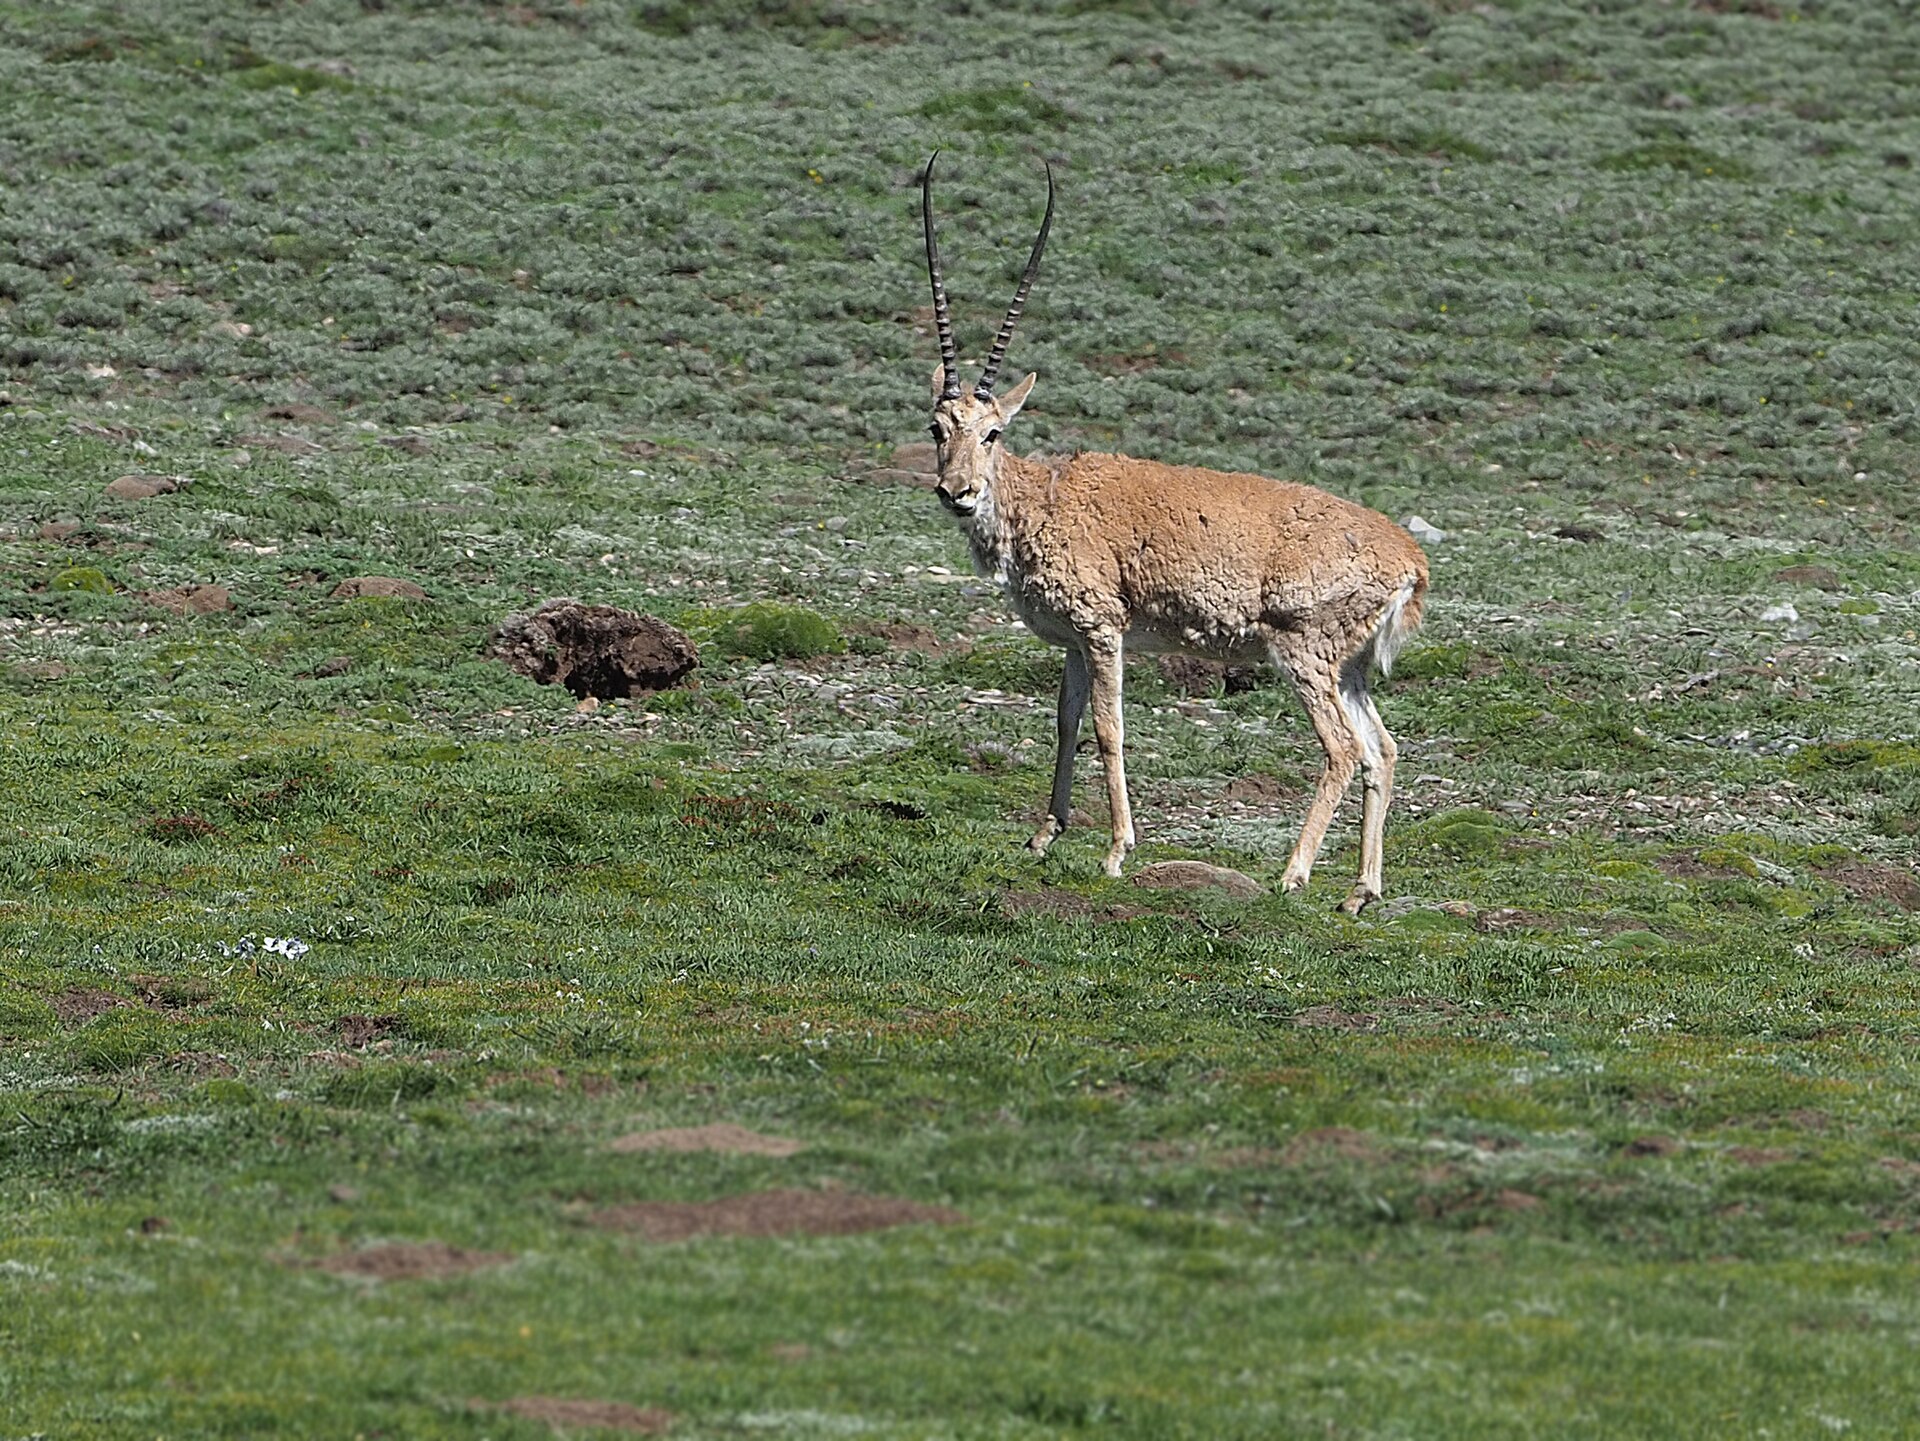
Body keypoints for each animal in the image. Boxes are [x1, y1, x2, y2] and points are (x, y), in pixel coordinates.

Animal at [919, 153, 1429, 914]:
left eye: (993, 431)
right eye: (937, 428)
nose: (958, 492)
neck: (1047, 498)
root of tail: (1409, 558)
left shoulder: (1103, 633)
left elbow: (1108, 728)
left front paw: (1115, 851)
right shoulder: (1074, 644)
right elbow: (1065, 721)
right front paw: (1042, 837)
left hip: (1305, 657)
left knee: (1343, 749)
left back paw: (1292, 875)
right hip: (1352, 670)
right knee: (1383, 749)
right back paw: (1358, 892)